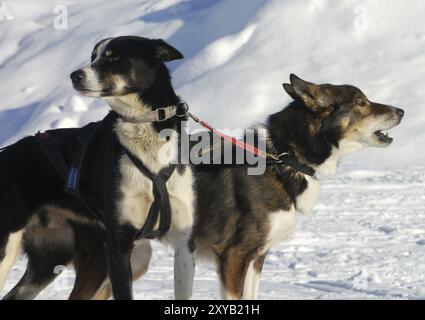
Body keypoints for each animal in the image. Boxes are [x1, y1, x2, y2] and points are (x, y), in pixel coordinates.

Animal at [0, 37, 195, 300]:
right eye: (93, 56)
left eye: (114, 58)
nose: (75, 75)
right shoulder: (118, 247)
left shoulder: (184, 243)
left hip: (61, 258)